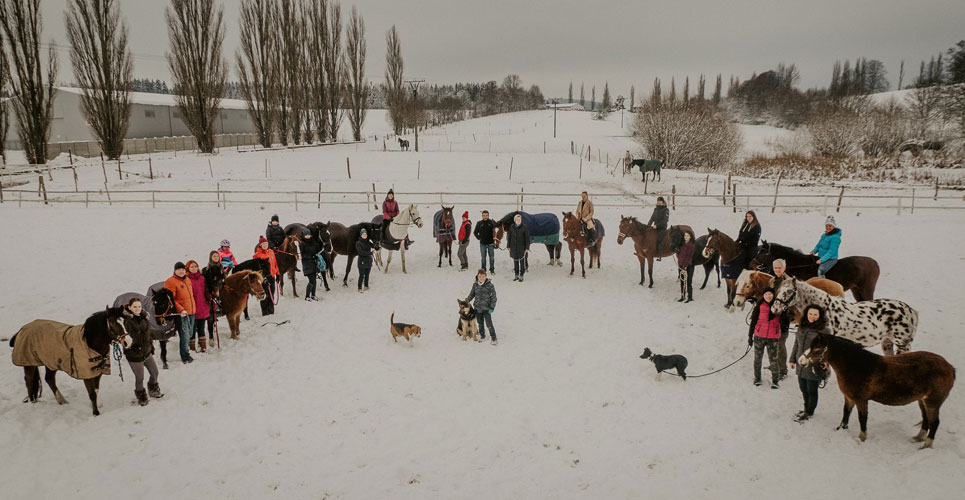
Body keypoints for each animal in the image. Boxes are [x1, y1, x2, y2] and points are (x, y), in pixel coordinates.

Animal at [751, 240, 880, 301]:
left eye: (762, 252)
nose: (753, 264)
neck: (803, 266)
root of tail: (875, 263)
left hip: (866, 290)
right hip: (856, 290)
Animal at [772, 277, 918, 355]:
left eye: (789, 291)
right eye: (779, 290)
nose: (775, 308)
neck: (823, 309)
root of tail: (910, 311)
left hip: (903, 345)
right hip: (887, 343)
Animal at [799, 334, 955, 449]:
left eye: (817, 349)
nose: (801, 361)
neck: (856, 366)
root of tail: (950, 367)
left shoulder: (861, 400)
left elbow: (862, 419)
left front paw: (861, 439)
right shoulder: (849, 398)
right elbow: (846, 413)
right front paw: (841, 430)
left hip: (933, 402)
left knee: (934, 423)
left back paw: (926, 446)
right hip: (922, 400)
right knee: (926, 419)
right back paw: (918, 438)